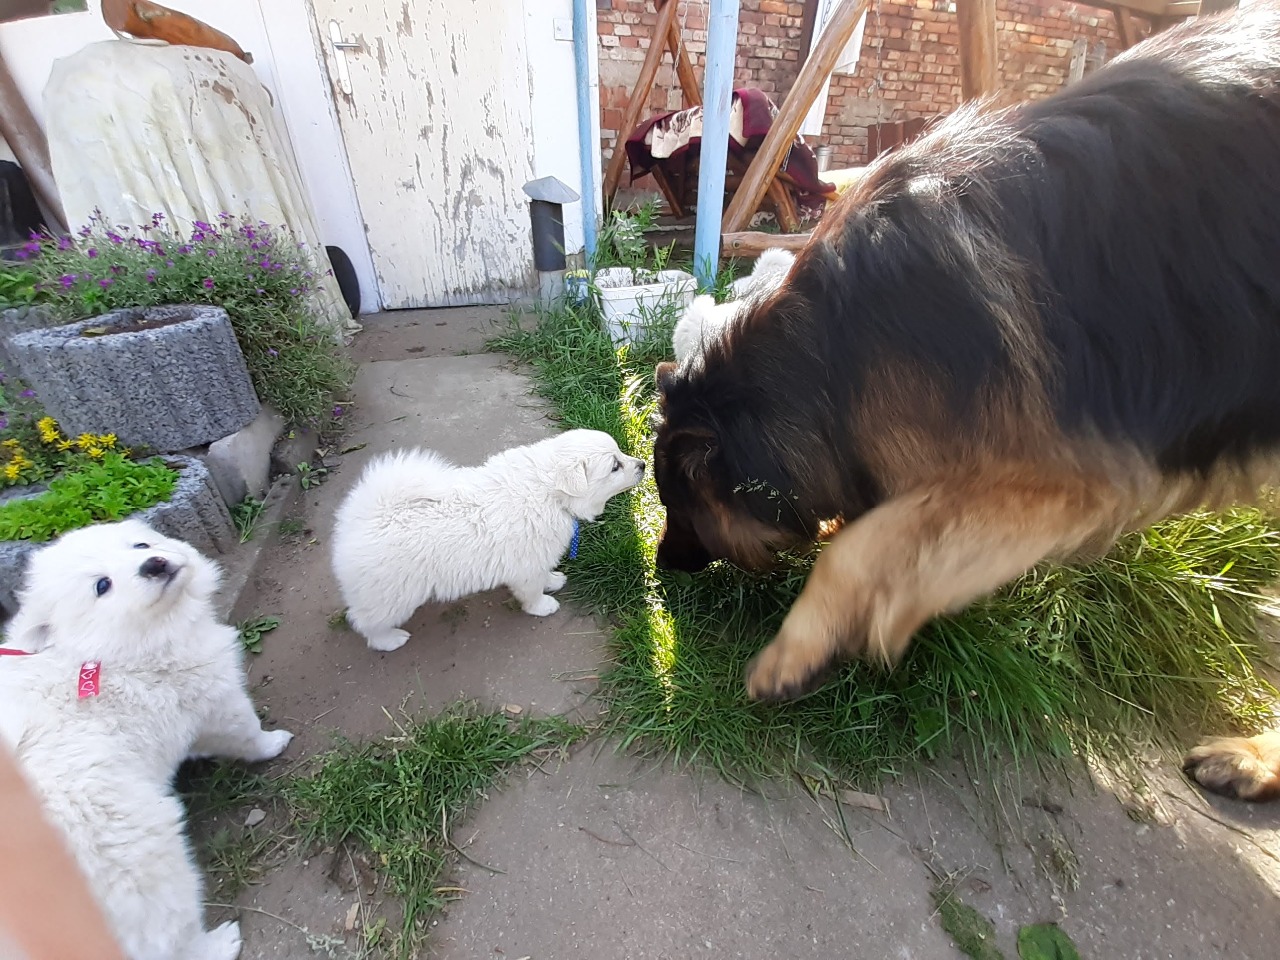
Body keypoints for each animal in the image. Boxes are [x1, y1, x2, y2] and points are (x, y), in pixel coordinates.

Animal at [0, 519, 293, 959]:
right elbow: (245, 734)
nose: (153, 563)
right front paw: (273, 742)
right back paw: (219, 942)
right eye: (102, 585)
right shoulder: (214, 699)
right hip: (144, 853)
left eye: (140, 544)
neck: (98, 653)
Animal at [331, 429, 646, 652]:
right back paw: (389, 640)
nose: (642, 464)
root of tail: (366, 516)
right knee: (366, 621)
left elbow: (543, 574)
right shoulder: (527, 564)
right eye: (615, 467)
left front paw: (553, 580)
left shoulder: (536, 558)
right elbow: (531, 592)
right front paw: (542, 606)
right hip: (393, 594)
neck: (549, 492)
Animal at [650, 4, 1280, 802]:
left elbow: (859, 552)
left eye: (680, 507)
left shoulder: (1055, 485)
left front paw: (803, 647)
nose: (659, 566)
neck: (827, 366)